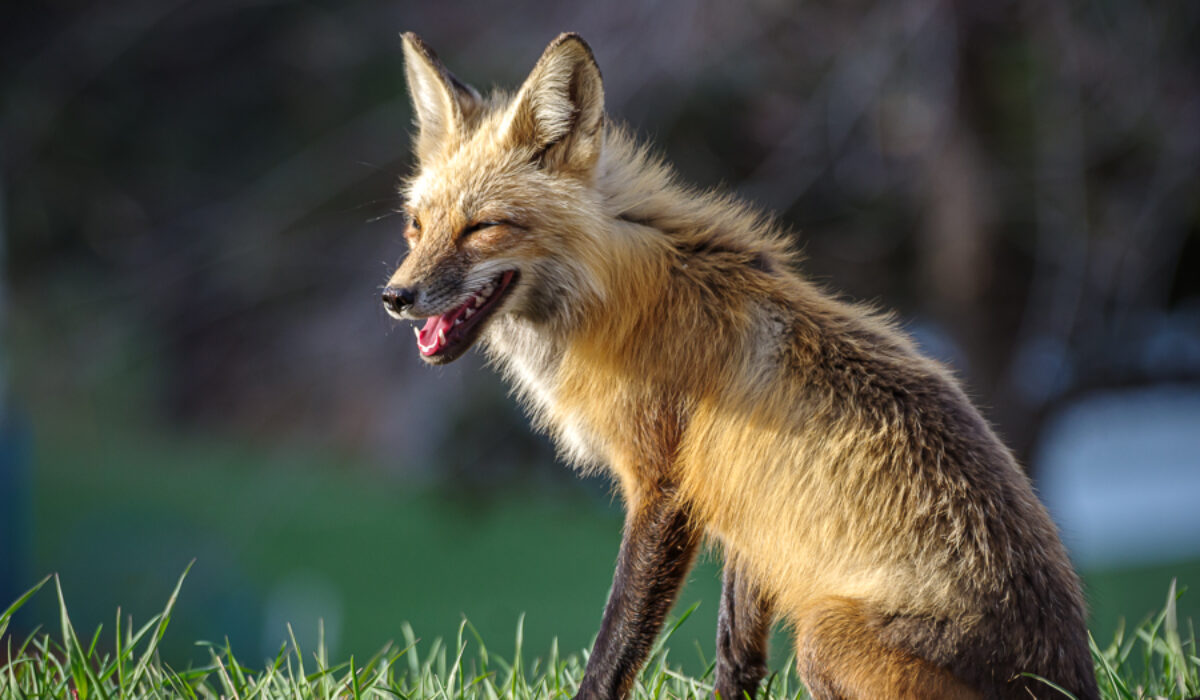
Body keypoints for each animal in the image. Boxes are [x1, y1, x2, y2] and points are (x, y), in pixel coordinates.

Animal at [379, 31, 1099, 700]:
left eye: (482, 228)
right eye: (415, 226)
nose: (394, 296)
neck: (610, 298)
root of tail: (1071, 681)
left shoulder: (664, 489)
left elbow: (615, 648)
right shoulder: (748, 509)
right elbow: (736, 656)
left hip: (822, 638)